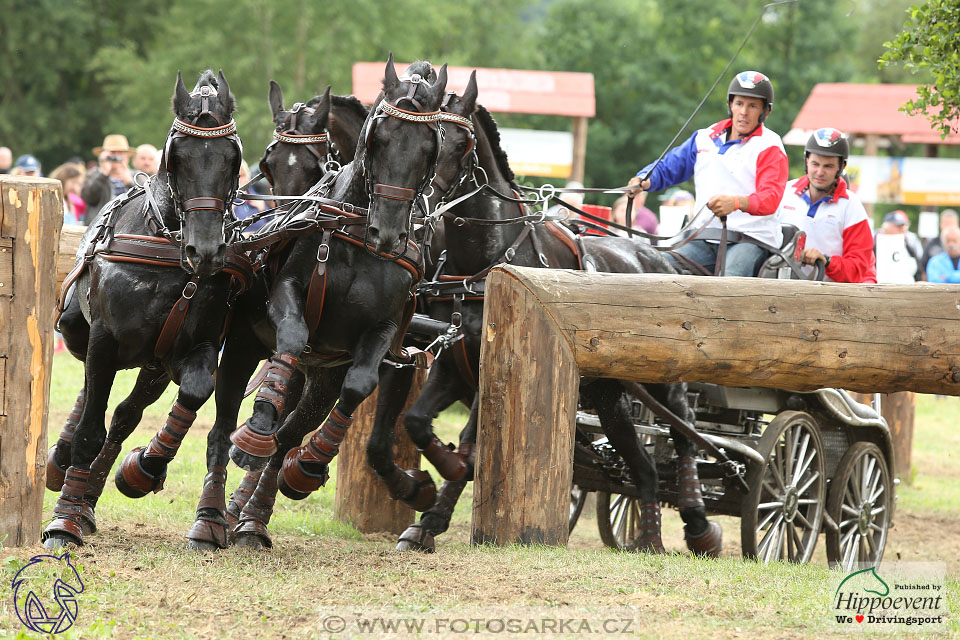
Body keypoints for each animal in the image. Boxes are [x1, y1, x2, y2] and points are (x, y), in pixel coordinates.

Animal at [44, 71, 248, 552]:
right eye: (178, 156)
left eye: (232, 158)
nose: (205, 251)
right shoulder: (104, 340)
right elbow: (90, 428)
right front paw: (64, 520)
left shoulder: (195, 347)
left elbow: (193, 391)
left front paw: (146, 467)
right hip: (81, 333)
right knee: (90, 398)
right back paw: (66, 469)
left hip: (152, 367)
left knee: (123, 416)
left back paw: (92, 492)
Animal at [221, 57, 450, 548]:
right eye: (379, 138)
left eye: (429, 147)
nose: (388, 233)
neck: (359, 237)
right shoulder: (287, 294)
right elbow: (292, 335)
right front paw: (256, 432)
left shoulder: (382, 331)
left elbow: (360, 385)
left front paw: (311, 462)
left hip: (325, 372)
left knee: (296, 426)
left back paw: (255, 514)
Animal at [372, 86, 724, 556]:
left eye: (459, 144)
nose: (416, 209)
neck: (485, 263)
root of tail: (659, 256)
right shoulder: (453, 366)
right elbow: (416, 422)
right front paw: (430, 503)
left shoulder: (494, 372)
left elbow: (471, 445)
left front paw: (438, 503)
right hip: (609, 396)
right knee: (645, 464)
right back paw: (649, 536)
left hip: (663, 380)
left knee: (684, 432)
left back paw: (697, 521)